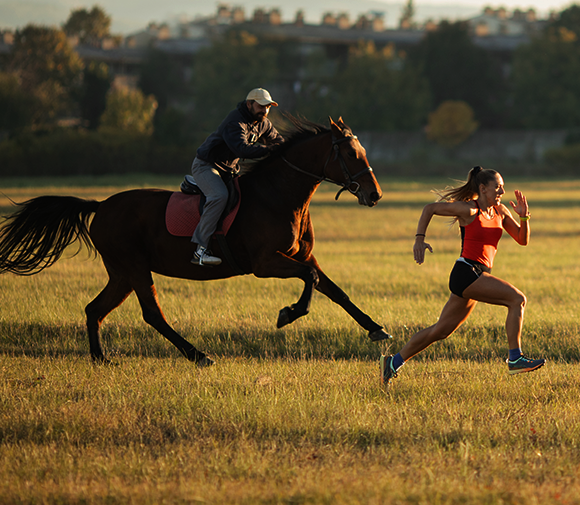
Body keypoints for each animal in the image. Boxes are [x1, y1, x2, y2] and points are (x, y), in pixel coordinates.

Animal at [0, 115, 392, 366]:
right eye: (351, 154)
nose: (375, 195)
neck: (279, 195)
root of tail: (100, 206)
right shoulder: (265, 263)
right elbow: (310, 281)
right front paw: (288, 314)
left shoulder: (304, 257)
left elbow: (335, 290)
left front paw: (377, 329)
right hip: (134, 267)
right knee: (152, 314)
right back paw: (199, 355)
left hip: (121, 273)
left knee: (94, 309)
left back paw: (100, 359)